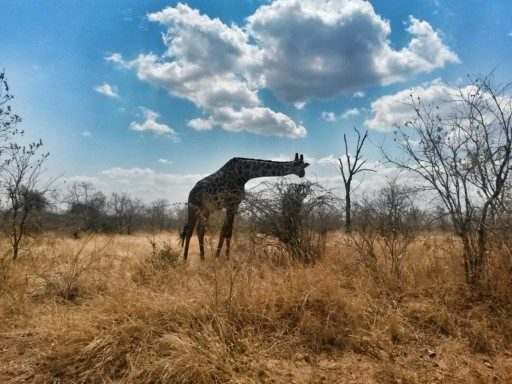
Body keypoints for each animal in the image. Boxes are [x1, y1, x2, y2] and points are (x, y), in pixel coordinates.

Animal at [180, 154, 308, 260]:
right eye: (295, 164)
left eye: (304, 166)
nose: (302, 174)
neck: (244, 174)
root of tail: (191, 192)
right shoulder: (230, 203)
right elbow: (226, 231)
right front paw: (222, 258)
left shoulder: (235, 204)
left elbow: (226, 231)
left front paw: (221, 257)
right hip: (193, 207)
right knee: (189, 231)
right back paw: (185, 259)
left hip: (206, 210)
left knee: (200, 230)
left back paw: (202, 258)